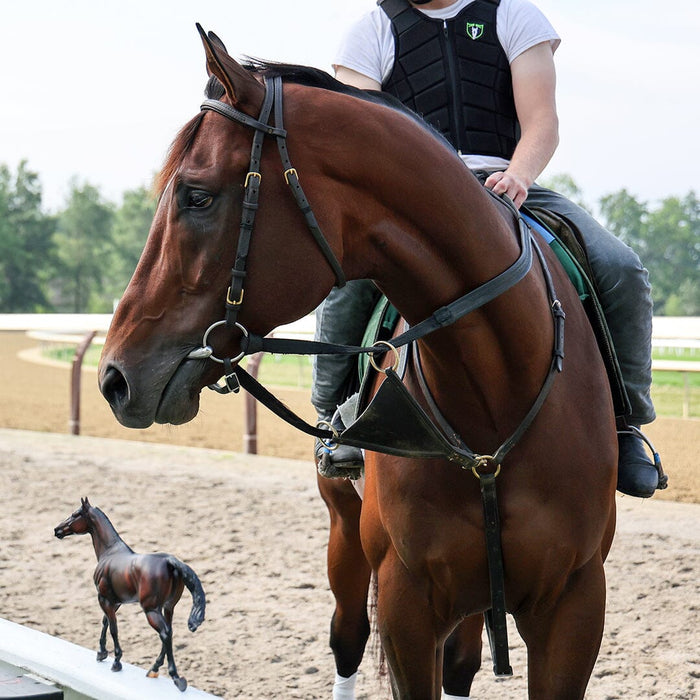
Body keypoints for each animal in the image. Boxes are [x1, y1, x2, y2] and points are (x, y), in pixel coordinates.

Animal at [53, 498, 205, 688]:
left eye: (75, 514)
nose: (57, 530)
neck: (110, 551)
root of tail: (170, 562)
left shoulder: (104, 599)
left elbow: (113, 628)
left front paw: (116, 661)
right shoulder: (114, 602)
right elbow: (105, 622)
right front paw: (101, 653)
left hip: (151, 610)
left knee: (164, 633)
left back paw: (176, 678)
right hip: (168, 607)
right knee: (169, 632)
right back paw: (154, 669)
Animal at [95, 24, 616, 696]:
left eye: (196, 196)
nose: (114, 377)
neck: (494, 398)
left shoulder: (574, 603)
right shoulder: (406, 599)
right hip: (345, 533)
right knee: (347, 635)